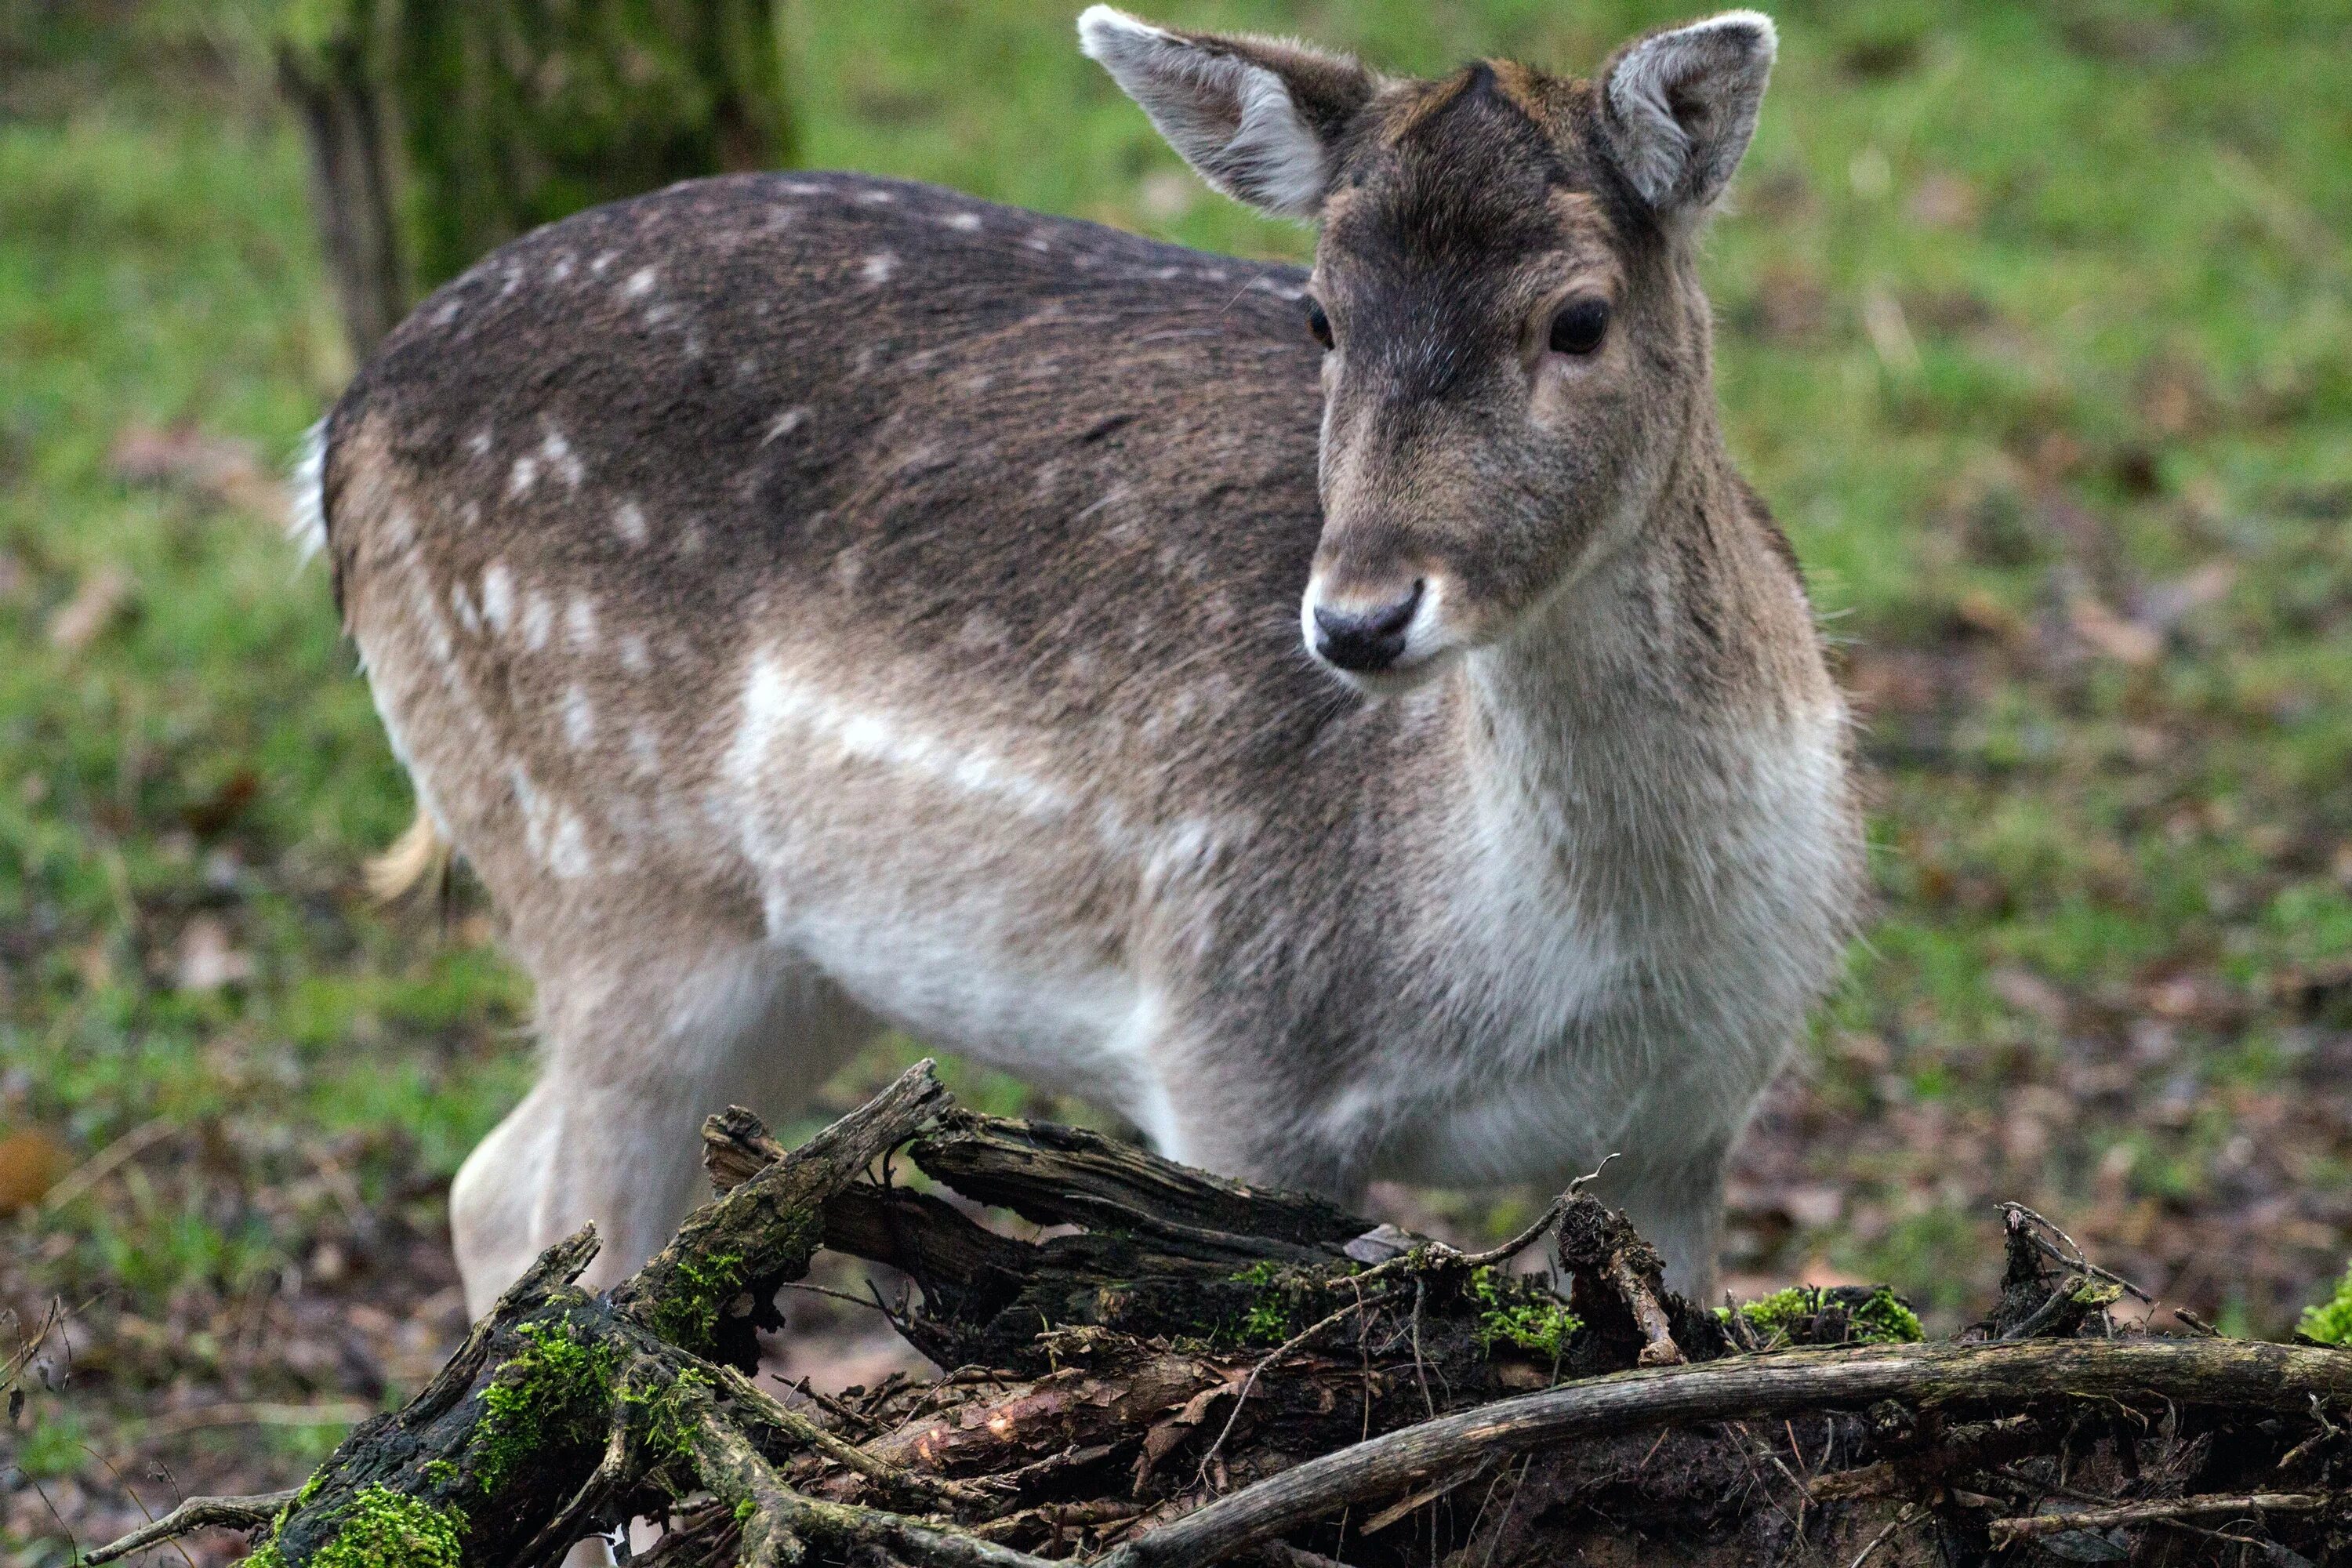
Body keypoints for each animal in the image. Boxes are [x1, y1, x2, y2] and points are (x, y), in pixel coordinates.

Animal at [303, 5, 1863, 1326]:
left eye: (1579, 319)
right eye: (1320, 314)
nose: (1355, 620)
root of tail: (340, 430)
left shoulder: (1691, 1122)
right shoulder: (1231, 1047)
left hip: (791, 965)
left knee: (494, 1188)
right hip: (603, 875)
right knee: (578, 1241)